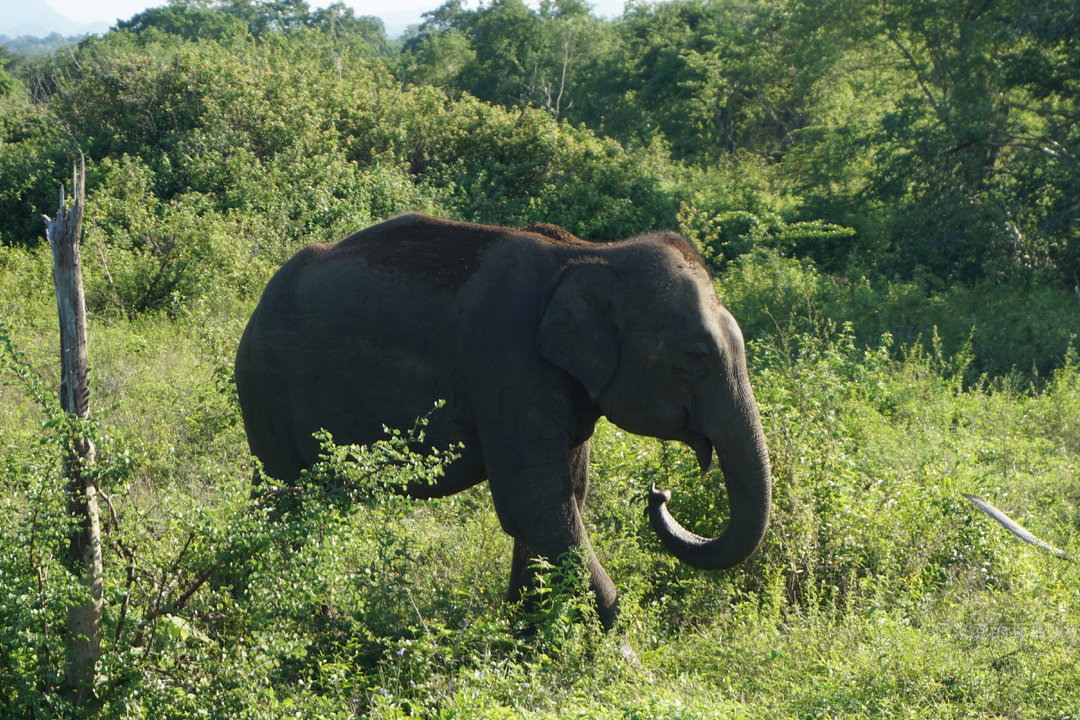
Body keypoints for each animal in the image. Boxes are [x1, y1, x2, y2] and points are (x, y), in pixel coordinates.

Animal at [236, 212, 773, 630]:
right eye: (696, 356)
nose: (659, 491)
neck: (592, 255)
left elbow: (561, 503)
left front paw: (525, 636)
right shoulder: (507, 365)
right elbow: (540, 506)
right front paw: (622, 661)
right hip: (265, 382)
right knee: (287, 495)